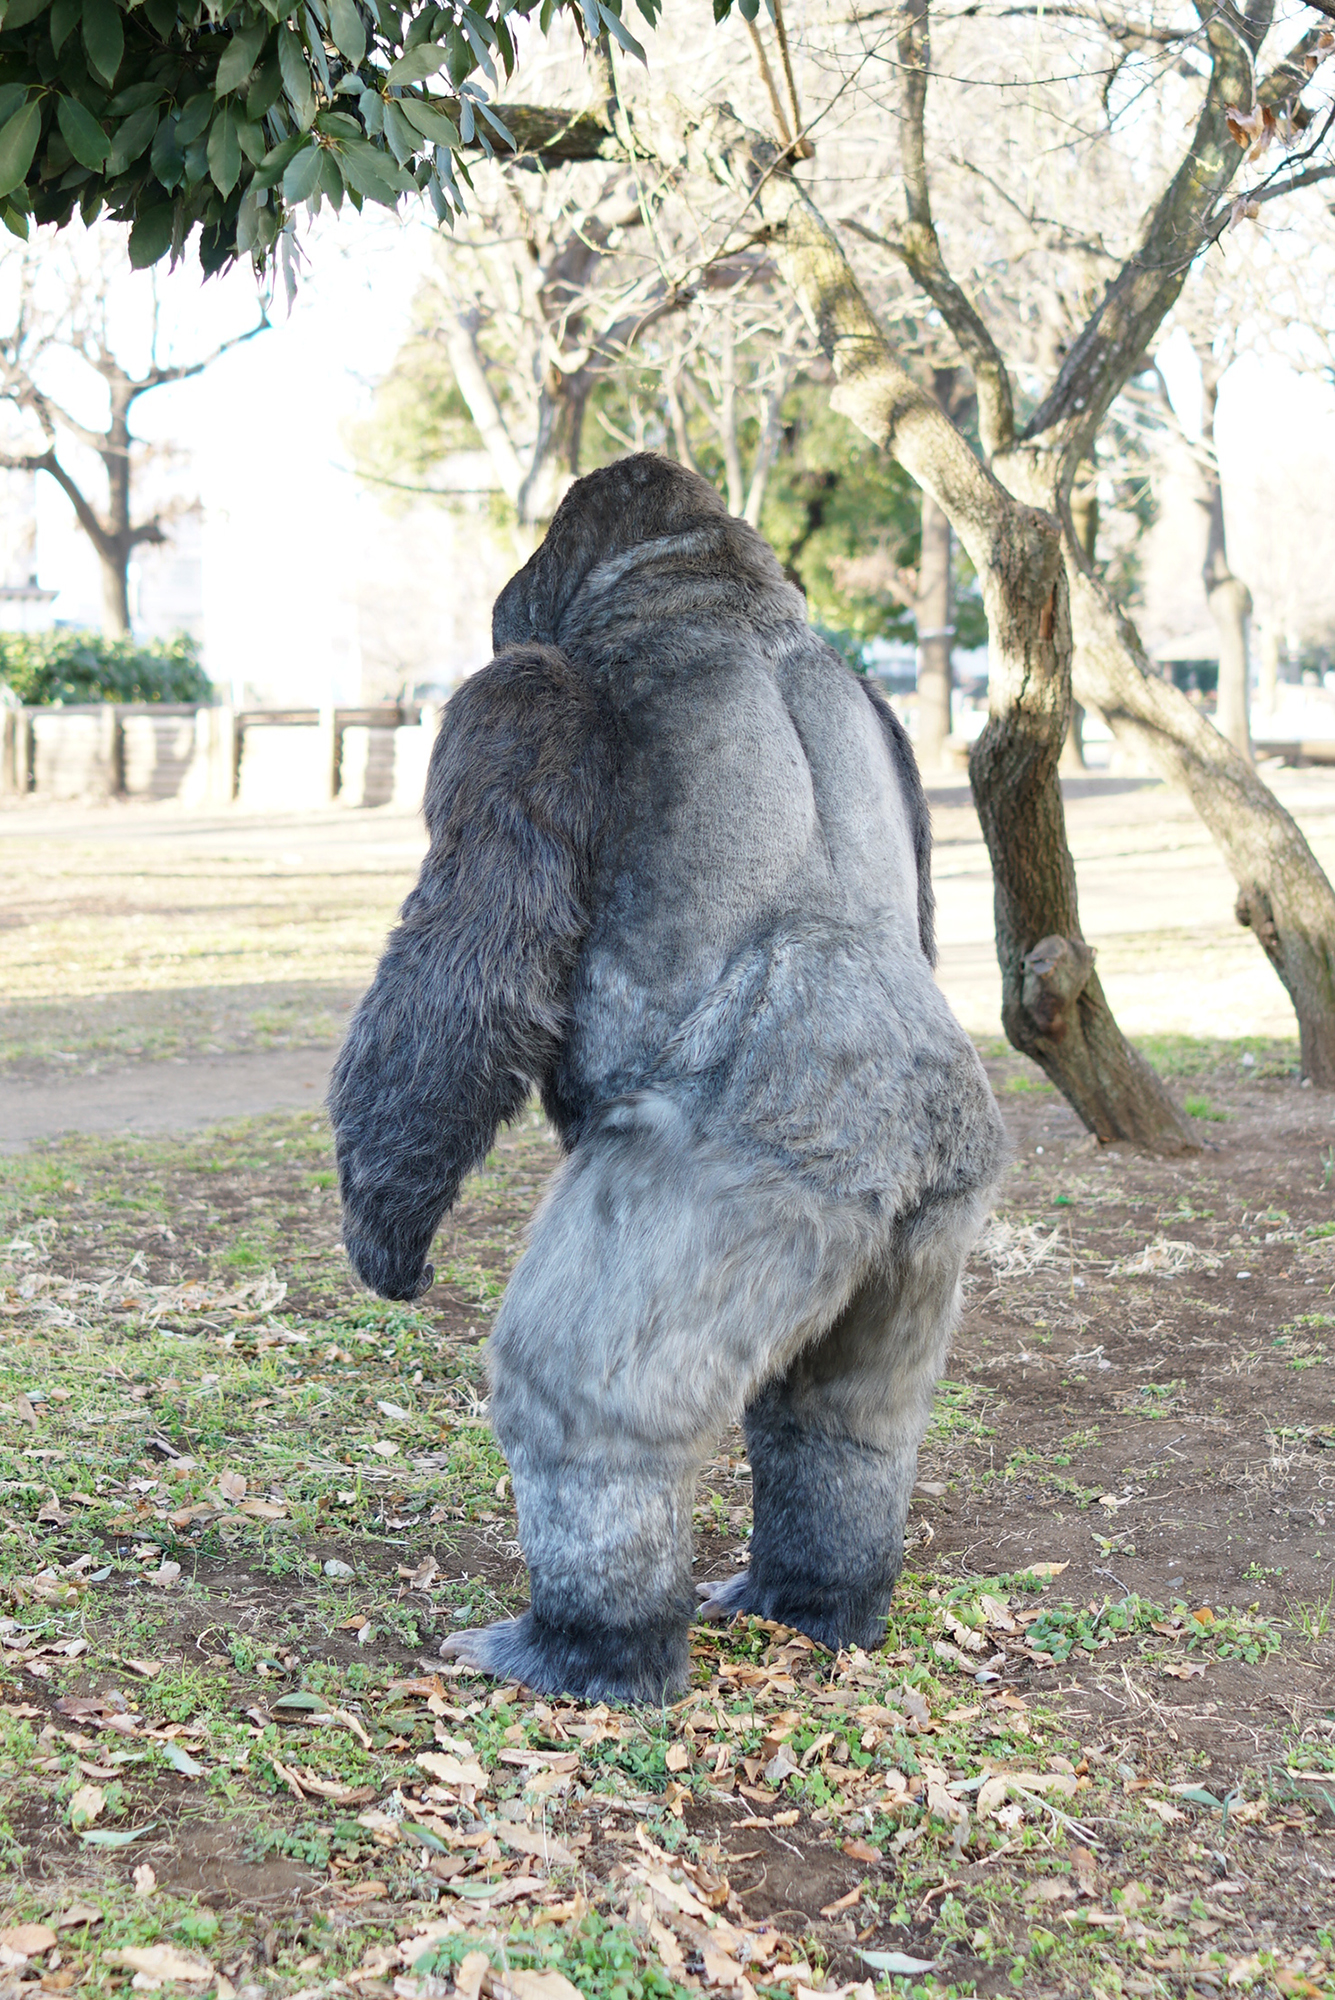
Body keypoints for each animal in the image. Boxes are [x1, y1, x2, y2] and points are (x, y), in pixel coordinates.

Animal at [328, 453, 1006, 1703]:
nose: (500, 604)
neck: (717, 598)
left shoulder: (522, 698)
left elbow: (465, 979)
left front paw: (384, 1224)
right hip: (937, 1211)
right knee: (850, 1419)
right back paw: (819, 1593)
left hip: (741, 1202)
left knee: (583, 1403)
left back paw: (588, 1647)